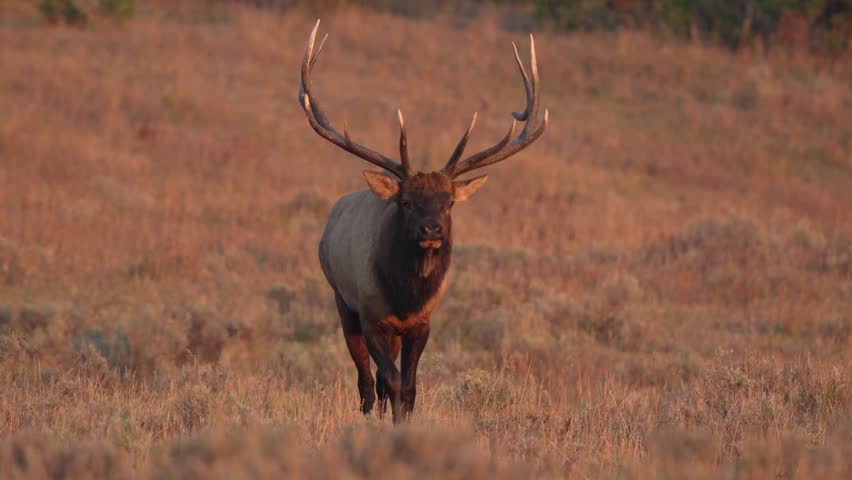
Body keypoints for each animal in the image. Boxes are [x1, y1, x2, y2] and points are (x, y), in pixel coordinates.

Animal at [298, 20, 547, 423]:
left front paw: (404, 421)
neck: (406, 298)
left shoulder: (422, 324)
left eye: (449, 202)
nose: (432, 228)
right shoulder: (371, 315)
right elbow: (389, 381)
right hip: (341, 301)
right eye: (406, 201)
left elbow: (410, 386)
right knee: (366, 381)